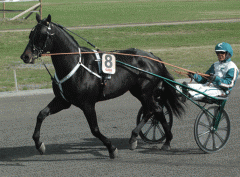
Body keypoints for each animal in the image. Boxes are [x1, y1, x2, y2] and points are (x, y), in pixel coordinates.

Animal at [21, 14, 184, 159]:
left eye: (41, 35)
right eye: (31, 33)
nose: (25, 56)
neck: (77, 65)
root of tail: (154, 57)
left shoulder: (87, 104)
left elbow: (94, 130)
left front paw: (111, 148)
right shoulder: (63, 101)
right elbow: (41, 114)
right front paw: (39, 144)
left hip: (145, 91)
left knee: (154, 109)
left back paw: (152, 139)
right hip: (138, 91)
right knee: (155, 110)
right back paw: (150, 140)